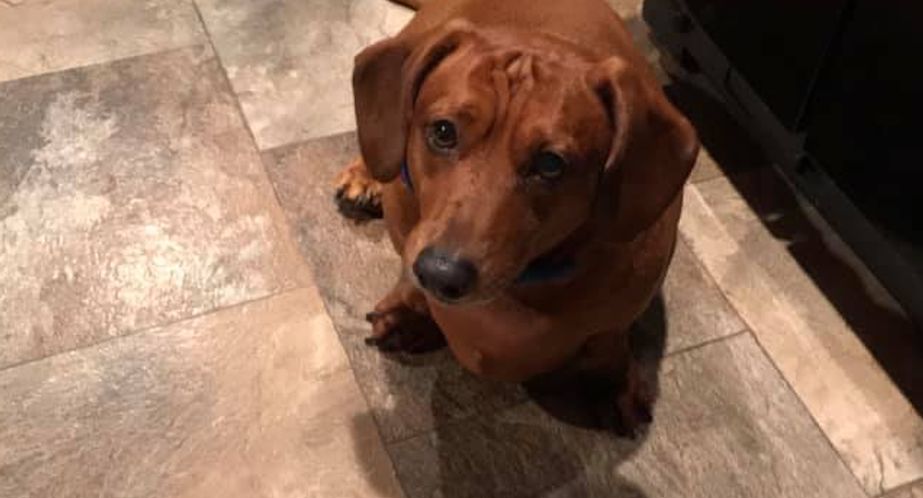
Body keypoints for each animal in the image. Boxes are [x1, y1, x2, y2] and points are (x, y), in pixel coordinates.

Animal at [335, 0, 699, 434]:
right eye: (443, 131)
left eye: (551, 164)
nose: (440, 274)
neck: (523, 280)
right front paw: (413, 311)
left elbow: (607, 340)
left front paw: (607, 383)